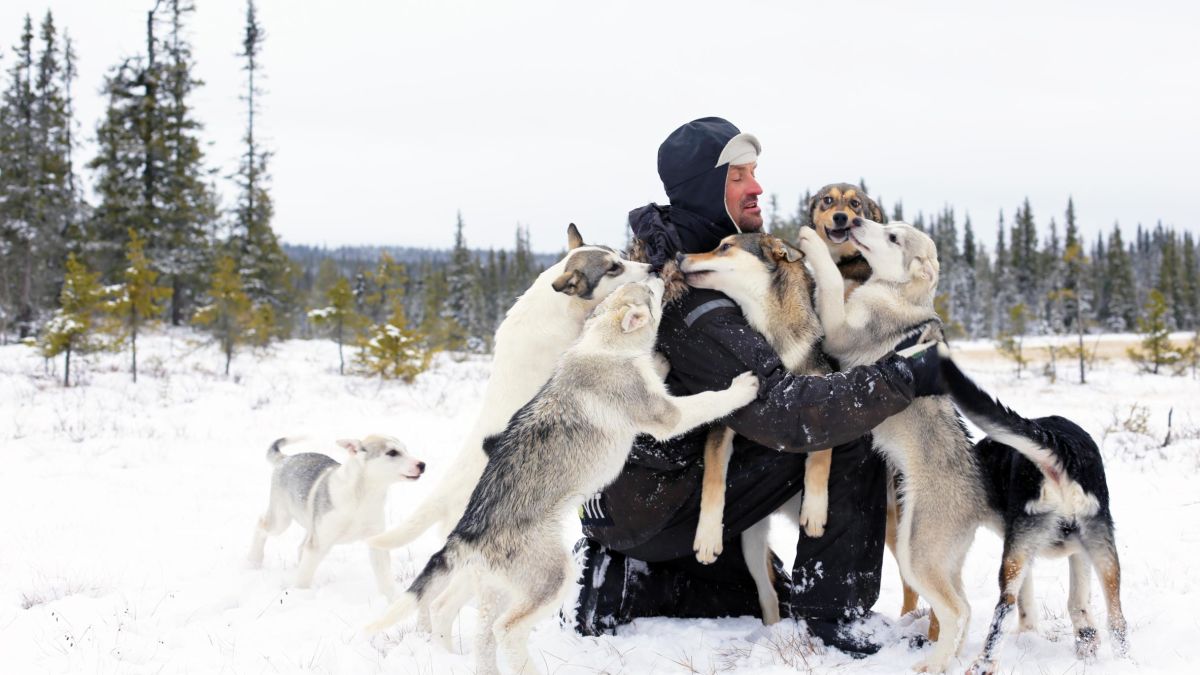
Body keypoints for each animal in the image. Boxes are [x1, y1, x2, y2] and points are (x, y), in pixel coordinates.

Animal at [248, 432, 427, 595]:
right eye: (392, 452)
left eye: (406, 449)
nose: (423, 465)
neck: (361, 498)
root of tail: (285, 458)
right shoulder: (318, 544)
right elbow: (303, 578)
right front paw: (299, 595)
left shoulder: (376, 540)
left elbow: (385, 578)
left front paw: (392, 600)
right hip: (281, 520)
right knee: (260, 525)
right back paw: (254, 562)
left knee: (300, 548)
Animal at [362, 276, 758, 667]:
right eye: (649, 291)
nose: (659, 274)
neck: (604, 347)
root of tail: (469, 530)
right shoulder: (666, 416)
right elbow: (707, 401)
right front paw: (743, 388)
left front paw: (658, 361)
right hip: (552, 578)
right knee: (506, 631)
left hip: (496, 589)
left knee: (474, 629)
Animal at [676, 230, 835, 619]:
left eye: (725, 247)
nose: (679, 255)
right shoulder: (723, 425)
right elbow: (713, 481)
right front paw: (706, 537)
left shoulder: (823, 395)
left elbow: (820, 455)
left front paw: (815, 508)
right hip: (751, 542)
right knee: (769, 595)